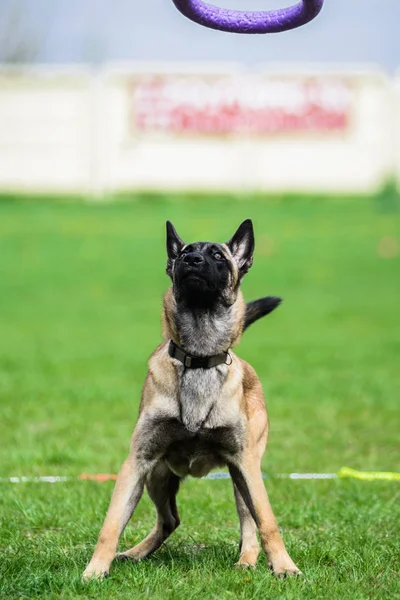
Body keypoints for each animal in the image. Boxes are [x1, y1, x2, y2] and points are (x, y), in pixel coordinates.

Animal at [82, 218, 300, 580]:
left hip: (242, 476)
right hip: (158, 477)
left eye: (217, 255)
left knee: (249, 524)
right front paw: (95, 570)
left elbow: (268, 521)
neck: (198, 356)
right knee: (169, 520)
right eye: (184, 252)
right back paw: (136, 552)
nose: (191, 261)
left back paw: (247, 560)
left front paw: (284, 566)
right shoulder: (138, 462)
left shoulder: (244, 463)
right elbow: (111, 525)